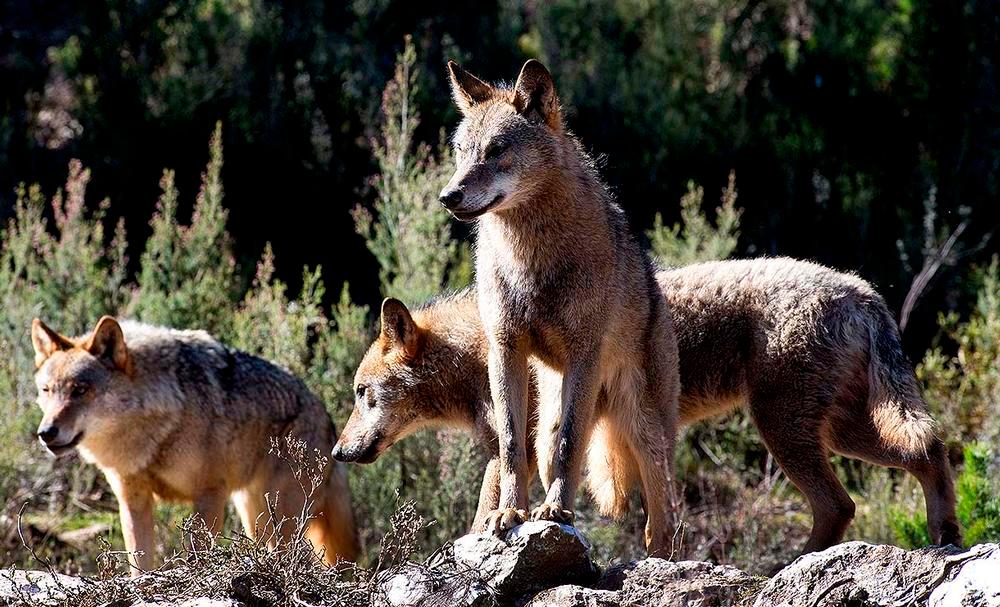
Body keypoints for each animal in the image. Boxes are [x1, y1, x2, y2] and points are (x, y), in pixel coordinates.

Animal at [31, 316, 360, 576]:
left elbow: (198, 555)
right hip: (254, 516)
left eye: (80, 390)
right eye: (47, 391)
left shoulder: (210, 494)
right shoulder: (133, 500)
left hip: (281, 520)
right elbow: (140, 563)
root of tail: (327, 418)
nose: (46, 432)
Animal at [438, 59, 680, 552]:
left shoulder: (584, 353)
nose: (448, 197)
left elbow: (572, 444)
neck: (530, 259)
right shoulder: (505, 350)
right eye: (461, 151)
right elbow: (511, 447)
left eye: (496, 150)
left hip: (646, 433)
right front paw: (509, 513)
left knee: (660, 521)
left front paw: (554, 512)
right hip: (551, 419)